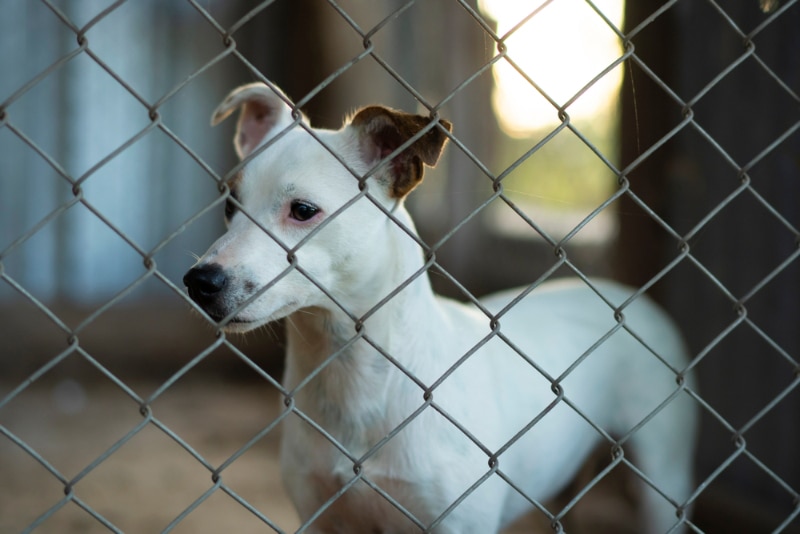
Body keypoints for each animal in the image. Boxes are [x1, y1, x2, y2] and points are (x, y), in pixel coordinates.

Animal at [184, 81, 696, 532]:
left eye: (304, 210)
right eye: (229, 205)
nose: (199, 282)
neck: (350, 372)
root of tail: (624, 295)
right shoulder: (320, 516)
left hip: (662, 479)